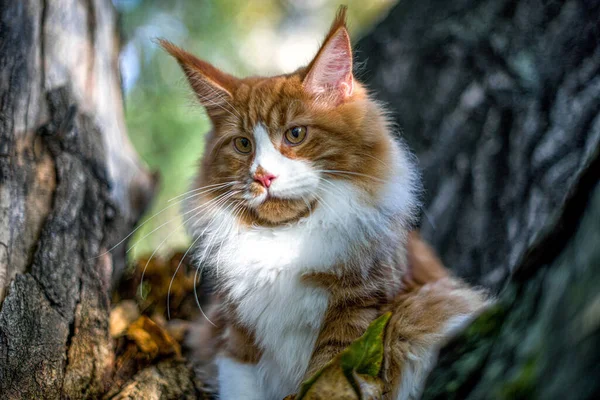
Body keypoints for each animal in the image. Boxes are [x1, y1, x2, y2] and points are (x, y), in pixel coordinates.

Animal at [158, 6, 488, 400]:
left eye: (295, 134)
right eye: (242, 144)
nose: (263, 176)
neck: (284, 239)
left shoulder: (360, 317)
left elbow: (322, 381)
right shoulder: (235, 335)